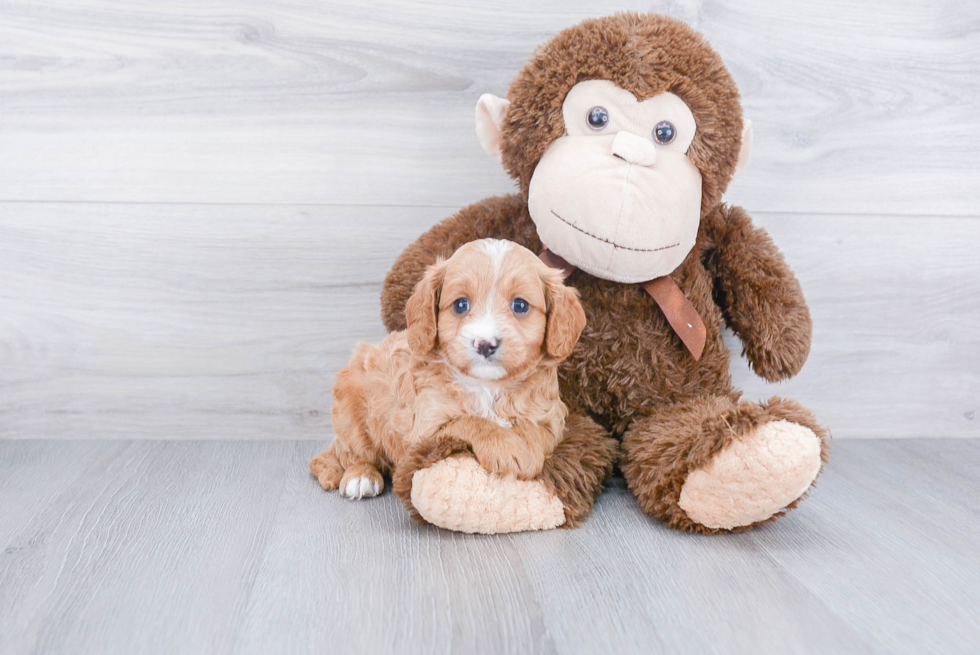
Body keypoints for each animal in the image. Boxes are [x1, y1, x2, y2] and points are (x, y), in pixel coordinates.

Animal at [308, 238, 580, 500]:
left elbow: (534, 430)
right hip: (351, 417)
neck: (486, 387)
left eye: (520, 305)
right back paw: (361, 476)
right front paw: (507, 448)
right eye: (460, 305)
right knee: (351, 454)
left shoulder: (550, 418)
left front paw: (525, 451)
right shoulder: (425, 428)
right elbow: (469, 421)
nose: (485, 344)